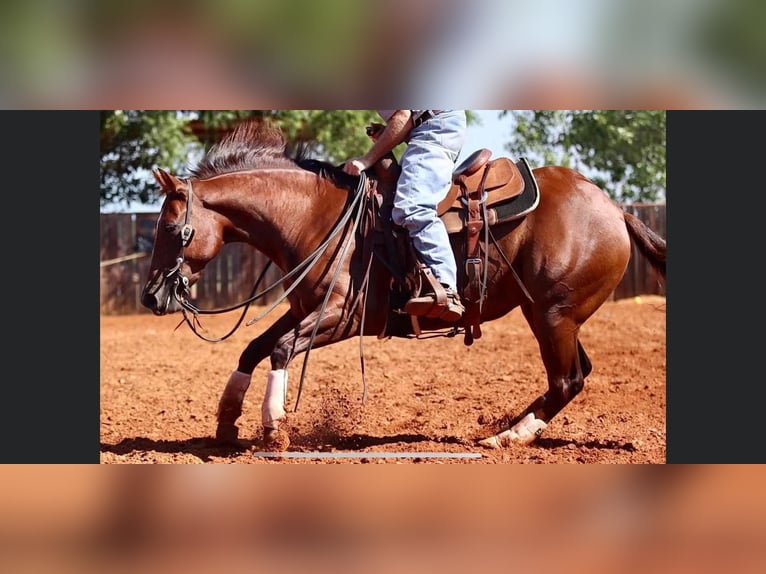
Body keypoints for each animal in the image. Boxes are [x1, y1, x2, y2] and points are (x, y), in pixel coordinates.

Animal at [141, 121, 668, 452]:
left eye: (169, 228)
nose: (150, 296)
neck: (315, 217)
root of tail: (614, 207)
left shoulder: (346, 317)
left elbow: (281, 349)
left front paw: (274, 429)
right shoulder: (306, 308)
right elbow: (254, 348)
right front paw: (227, 419)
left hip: (553, 314)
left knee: (567, 380)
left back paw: (505, 438)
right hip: (551, 314)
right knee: (576, 375)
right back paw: (509, 429)